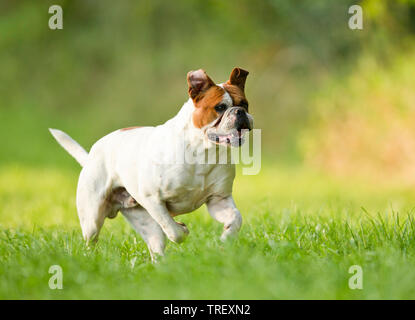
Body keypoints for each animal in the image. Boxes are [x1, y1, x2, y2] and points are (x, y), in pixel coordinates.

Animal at [50, 67, 255, 260]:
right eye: (220, 107)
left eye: (245, 103)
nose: (240, 112)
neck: (202, 151)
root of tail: (90, 157)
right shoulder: (152, 199)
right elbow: (174, 231)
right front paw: (182, 228)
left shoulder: (218, 199)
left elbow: (236, 218)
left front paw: (226, 239)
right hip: (92, 219)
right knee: (93, 239)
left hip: (143, 221)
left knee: (156, 246)